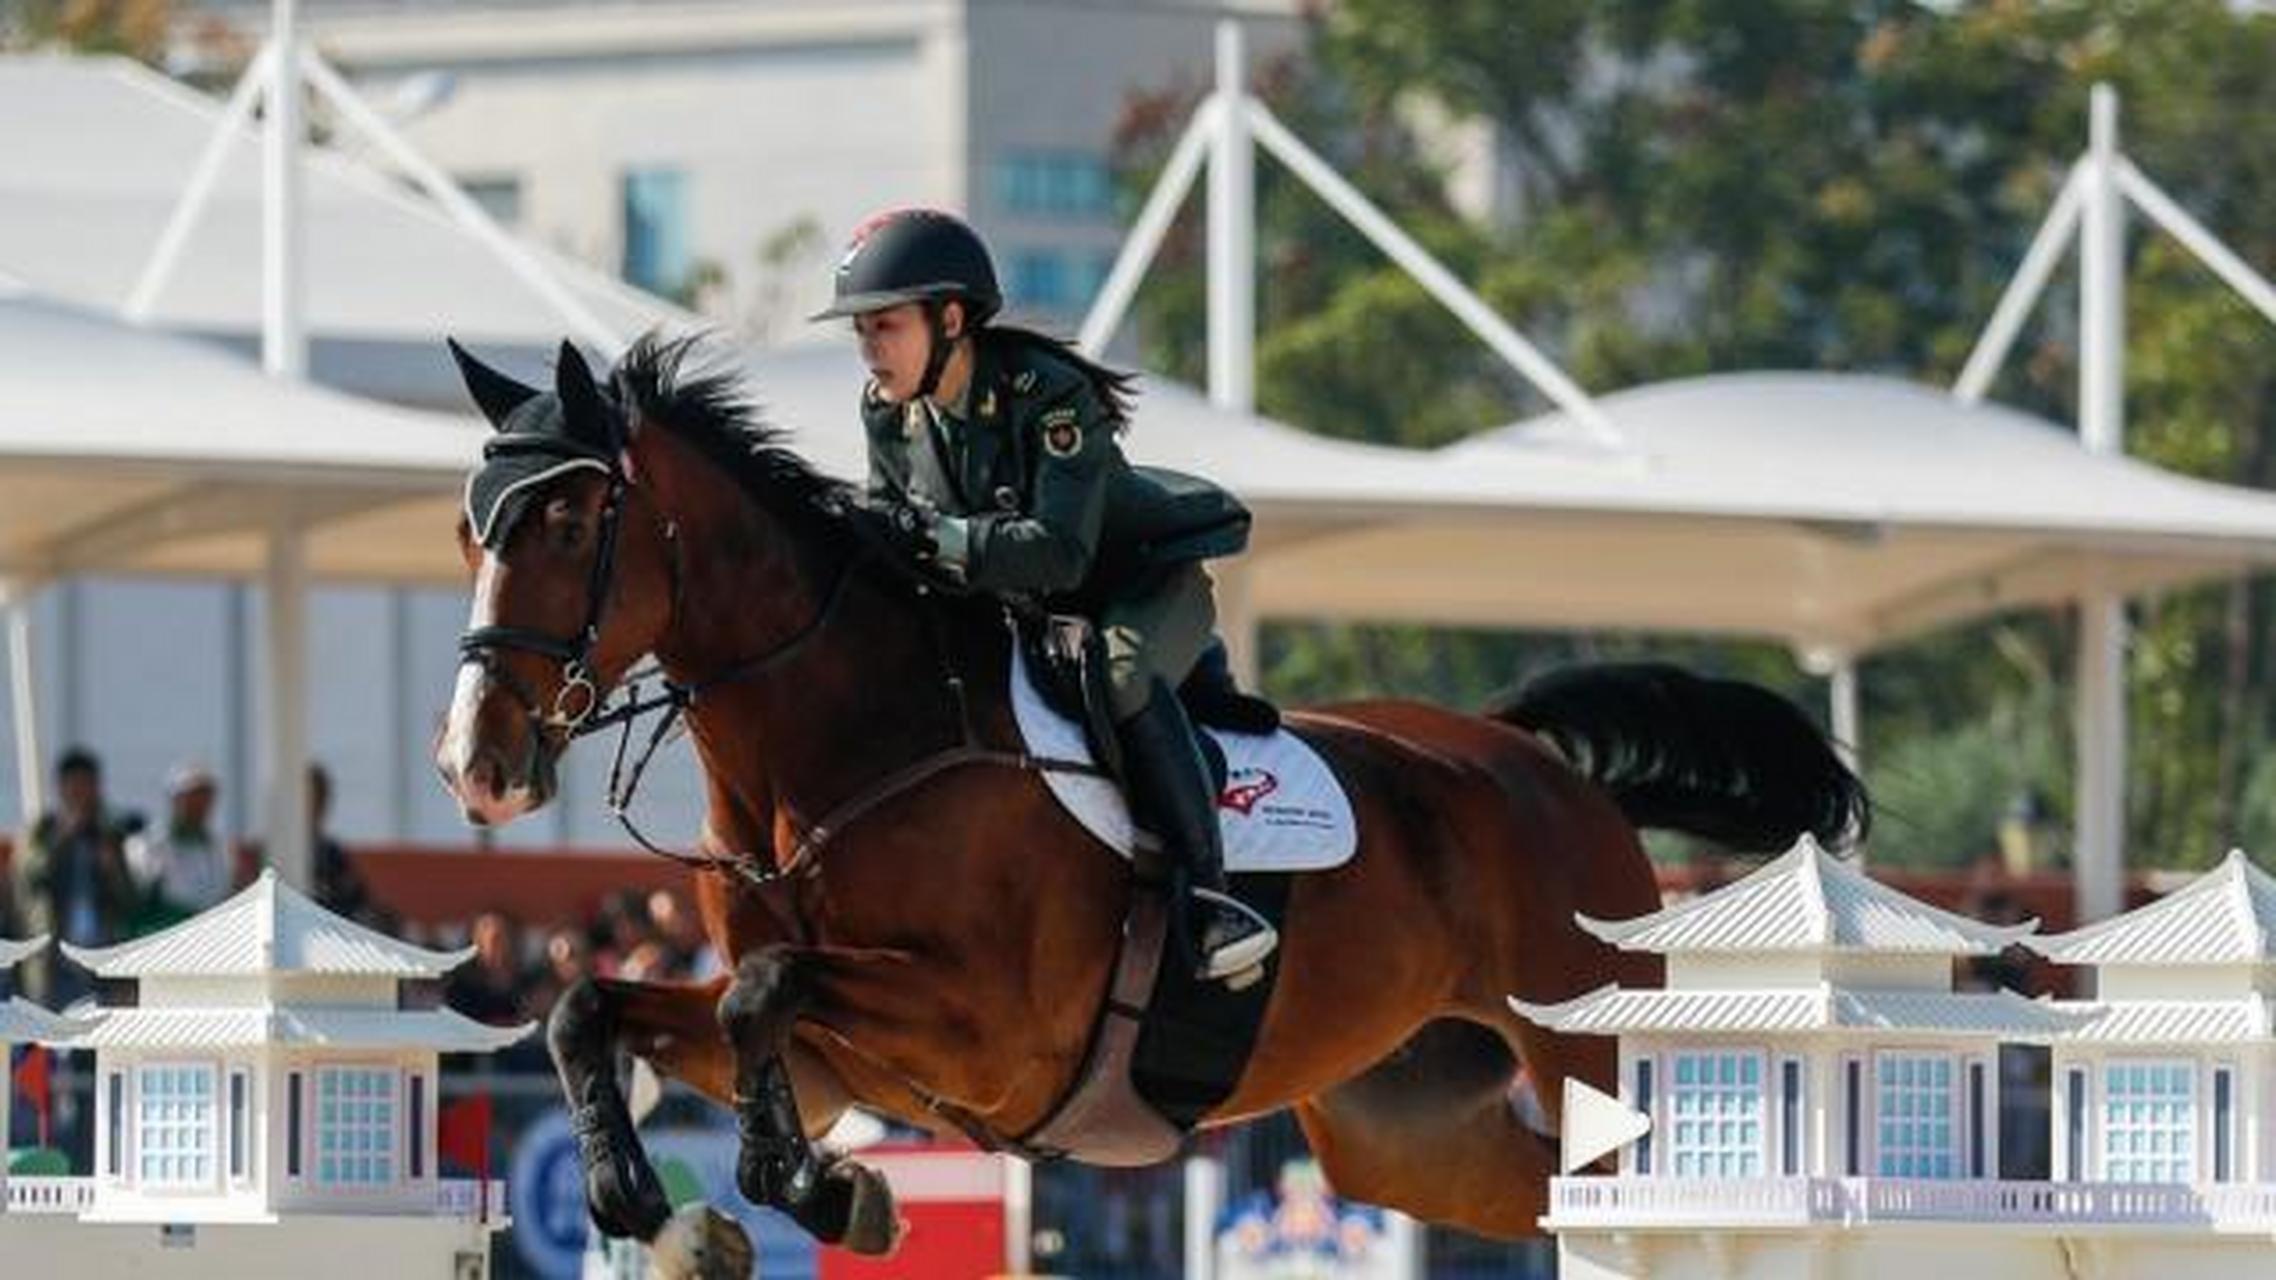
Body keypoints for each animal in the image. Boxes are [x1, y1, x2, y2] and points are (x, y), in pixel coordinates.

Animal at [430, 334, 1866, 1257]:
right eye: (467, 527)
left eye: (571, 525)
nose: (473, 764)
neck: (836, 745)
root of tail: (1538, 763)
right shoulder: (844, 1056)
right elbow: (591, 1006)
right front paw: (664, 1200)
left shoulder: (986, 1030)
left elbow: (760, 991)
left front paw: (814, 1190)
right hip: (1401, 1126)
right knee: (1541, 1204)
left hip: (1586, 1050)